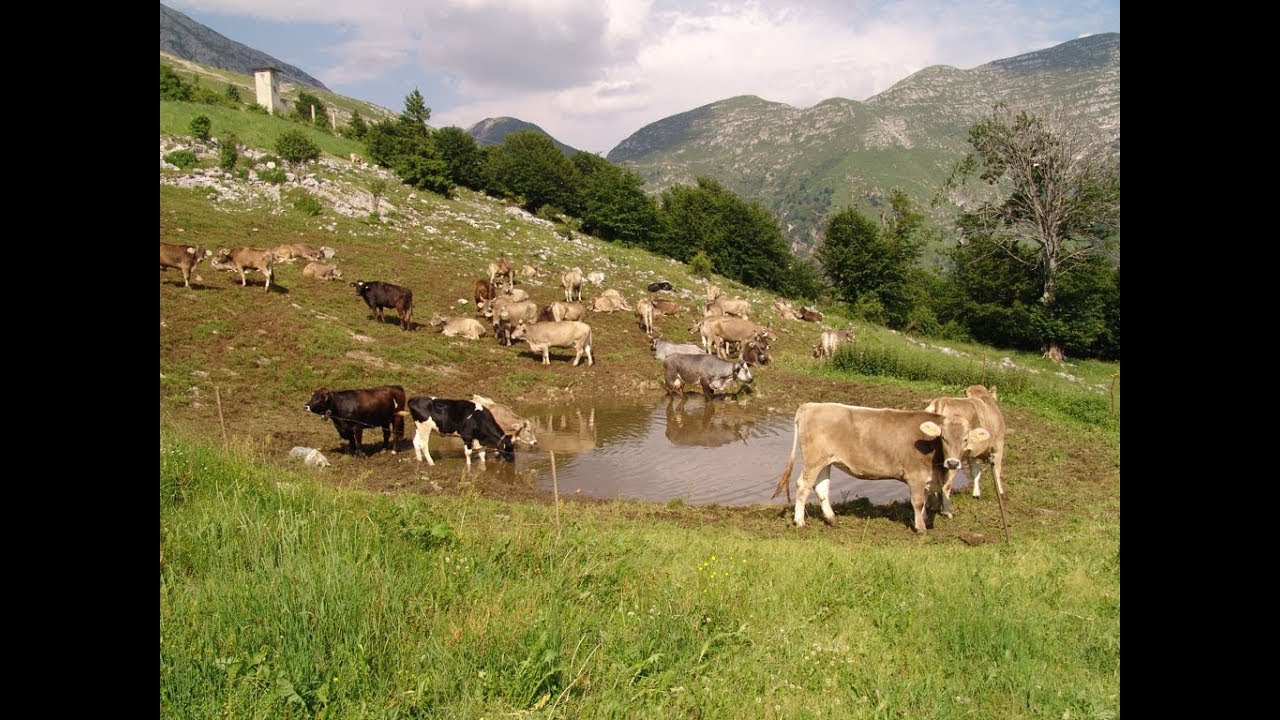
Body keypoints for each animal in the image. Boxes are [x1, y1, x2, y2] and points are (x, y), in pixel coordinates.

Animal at [772, 403, 990, 534]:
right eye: (943, 438)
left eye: (966, 439)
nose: (953, 463)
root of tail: (811, 405)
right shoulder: (916, 476)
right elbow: (918, 502)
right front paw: (920, 528)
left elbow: (928, 500)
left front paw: (927, 520)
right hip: (813, 460)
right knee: (803, 486)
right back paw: (799, 521)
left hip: (826, 461)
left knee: (821, 487)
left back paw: (831, 518)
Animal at [924, 385, 1008, 514]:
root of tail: (941, 401)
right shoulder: (998, 446)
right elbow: (997, 471)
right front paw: (1001, 492)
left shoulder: (971, 454)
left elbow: (975, 472)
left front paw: (976, 494)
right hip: (953, 459)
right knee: (946, 486)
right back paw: (946, 511)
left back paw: (932, 505)